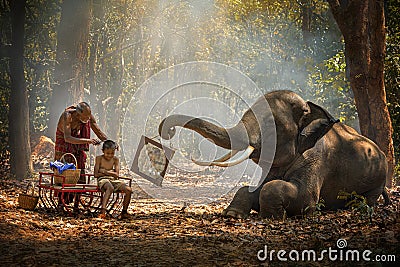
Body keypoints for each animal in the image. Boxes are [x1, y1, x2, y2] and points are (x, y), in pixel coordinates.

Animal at [158, 90, 390, 220]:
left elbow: (302, 198)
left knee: (368, 198)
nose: (168, 131)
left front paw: (271, 216)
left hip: (378, 178)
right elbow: (252, 187)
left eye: (270, 127)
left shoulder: (316, 160)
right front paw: (232, 215)